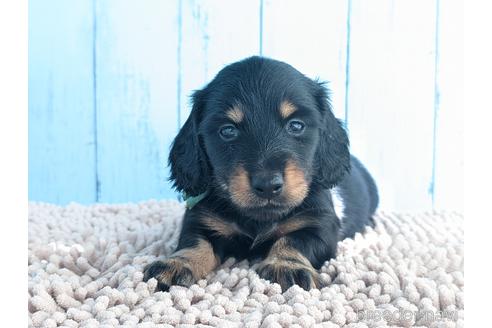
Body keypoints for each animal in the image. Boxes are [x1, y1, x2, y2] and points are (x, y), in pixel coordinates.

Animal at [144, 56, 378, 292]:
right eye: (228, 130)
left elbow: (294, 241)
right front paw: (178, 263)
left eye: (296, 125)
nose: (267, 184)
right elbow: (196, 242)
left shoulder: (320, 224)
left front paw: (287, 265)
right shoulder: (200, 220)